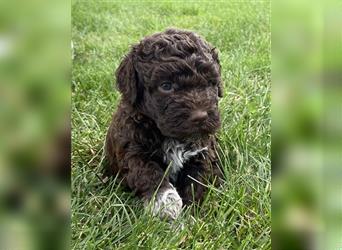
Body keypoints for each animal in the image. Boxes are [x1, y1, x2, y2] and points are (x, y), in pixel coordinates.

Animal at [105, 28, 223, 219]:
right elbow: (148, 172)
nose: (200, 117)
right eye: (166, 86)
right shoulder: (132, 151)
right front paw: (165, 202)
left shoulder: (202, 152)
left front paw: (191, 212)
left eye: (210, 83)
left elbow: (197, 180)